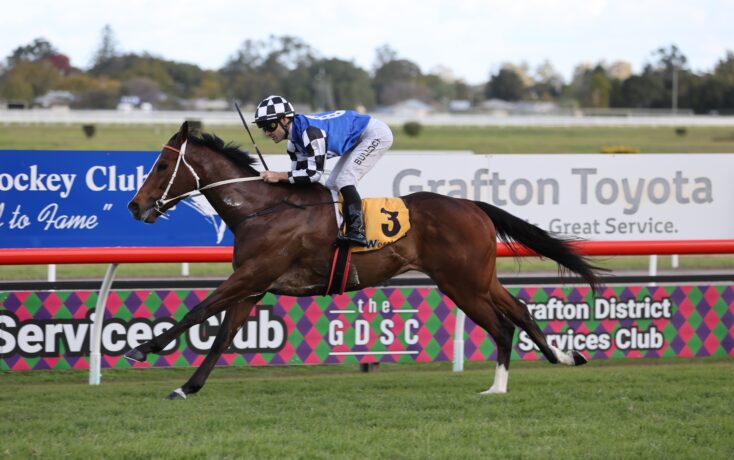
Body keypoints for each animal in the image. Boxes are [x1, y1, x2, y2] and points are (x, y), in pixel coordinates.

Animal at [125, 121, 602, 399]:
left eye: (163, 164)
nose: (135, 205)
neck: (263, 209)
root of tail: (473, 206)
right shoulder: (254, 284)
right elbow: (223, 334)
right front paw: (188, 386)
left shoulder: (252, 274)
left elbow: (199, 311)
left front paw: (142, 348)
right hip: (480, 278)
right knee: (520, 309)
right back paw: (562, 357)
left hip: (461, 283)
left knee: (502, 326)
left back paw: (497, 388)